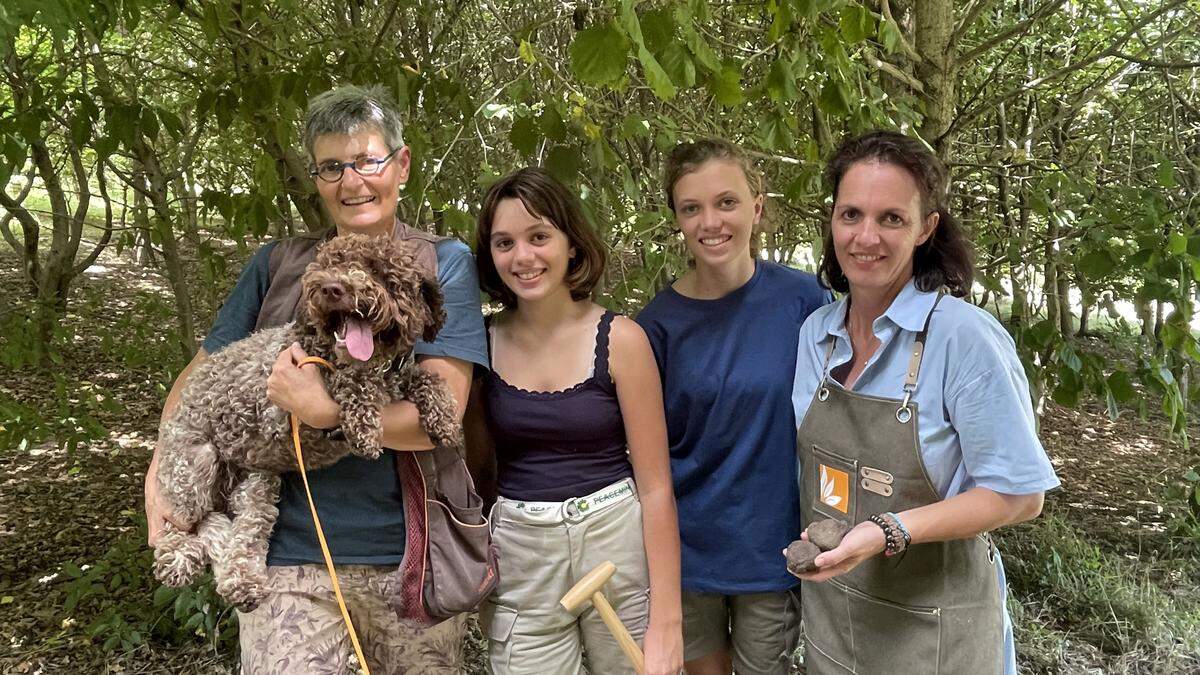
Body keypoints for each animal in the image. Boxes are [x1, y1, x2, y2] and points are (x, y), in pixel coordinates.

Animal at [152, 234, 460, 607]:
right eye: (328, 265)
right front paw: (364, 424)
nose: (332, 288)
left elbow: (428, 378)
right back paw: (178, 558)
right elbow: (353, 381)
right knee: (181, 524)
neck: (378, 365)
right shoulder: (290, 394)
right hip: (194, 465)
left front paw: (444, 417)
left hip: (257, 481)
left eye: (378, 270)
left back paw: (242, 582)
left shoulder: (400, 377)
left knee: (243, 530)